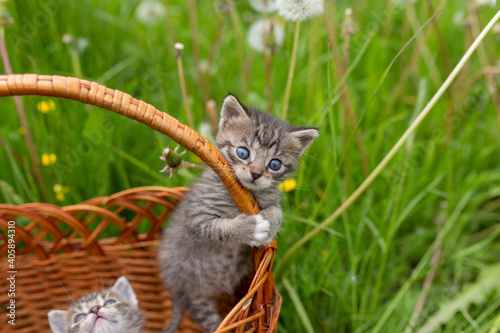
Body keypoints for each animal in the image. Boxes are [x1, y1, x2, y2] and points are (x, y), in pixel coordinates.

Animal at [158, 94, 318, 330]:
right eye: (243, 152)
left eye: (275, 164)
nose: (256, 173)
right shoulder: (196, 217)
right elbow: (218, 227)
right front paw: (250, 228)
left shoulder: (270, 197)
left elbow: (277, 211)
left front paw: (269, 224)